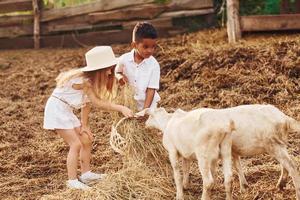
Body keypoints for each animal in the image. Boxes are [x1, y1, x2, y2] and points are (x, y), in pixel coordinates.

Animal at [172, 104, 300, 199]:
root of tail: (284, 118)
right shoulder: (233, 151)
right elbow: (238, 166)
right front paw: (244, 188)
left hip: (273, 143)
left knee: (292, 164)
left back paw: (295, 193)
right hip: (279, 144)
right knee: (285, 164)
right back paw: (280, 186)